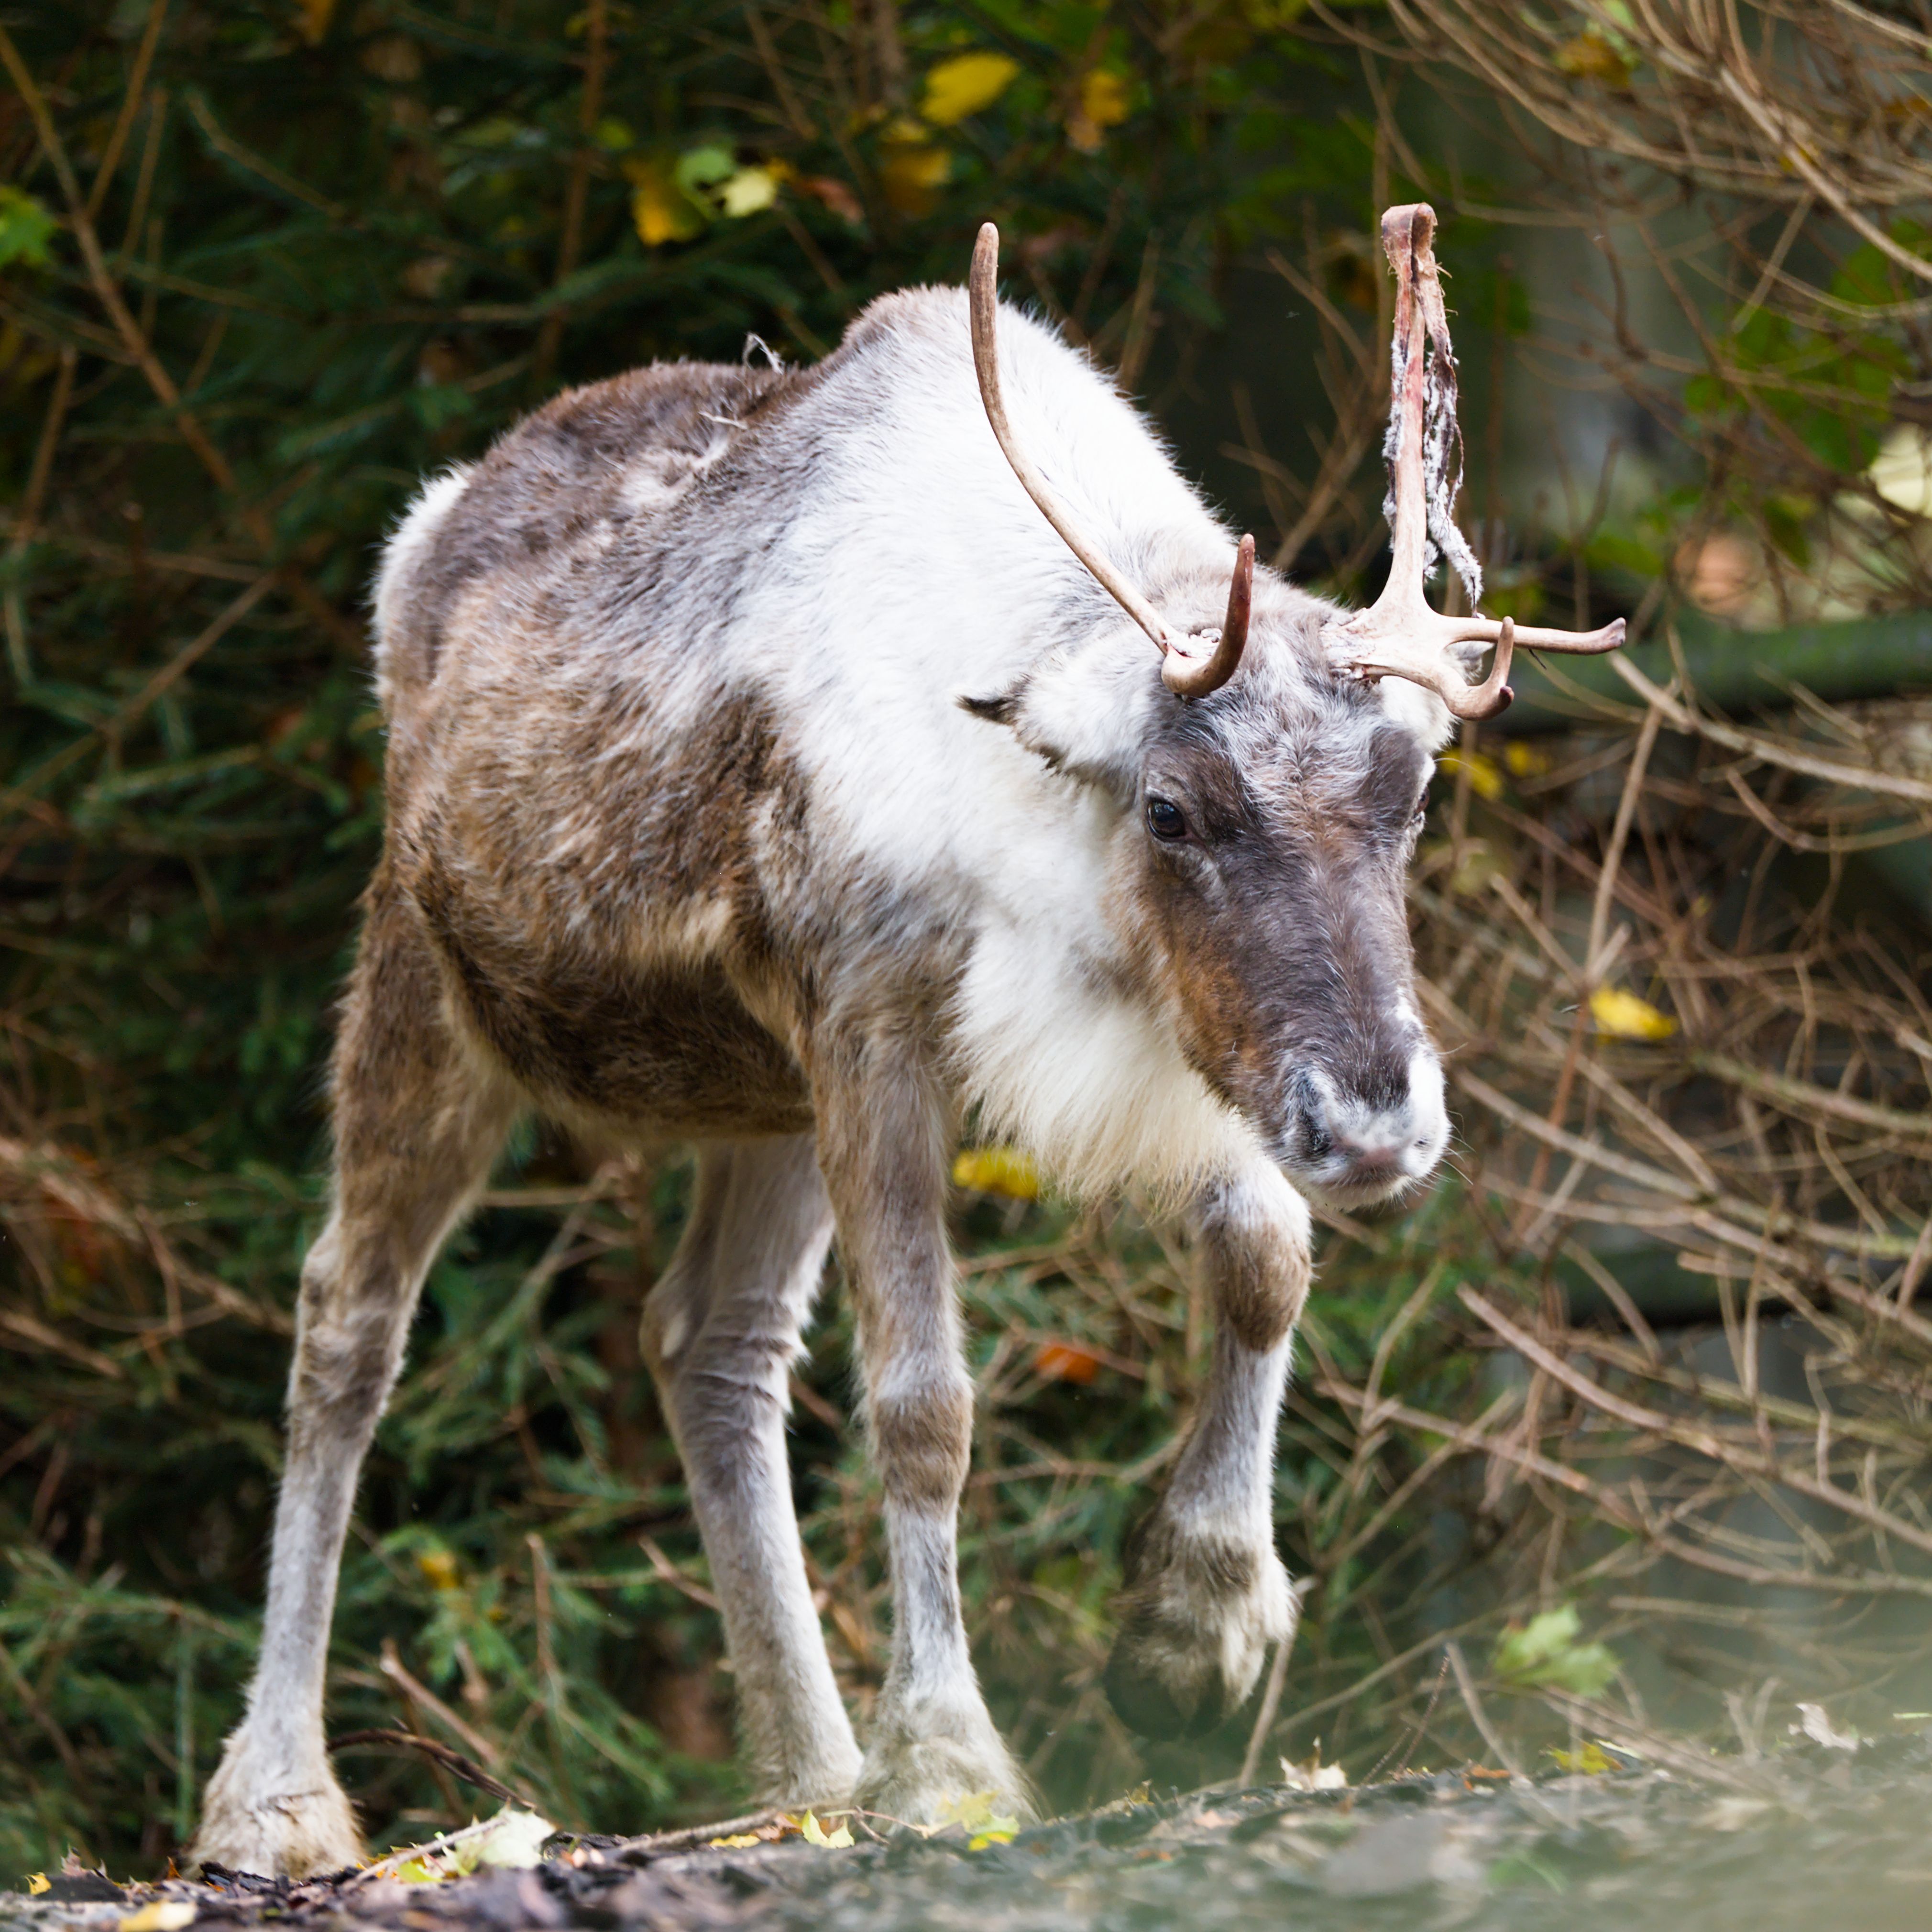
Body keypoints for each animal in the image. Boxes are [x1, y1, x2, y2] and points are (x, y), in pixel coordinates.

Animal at [191, 204, 1621, 1877]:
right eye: (1169, 807)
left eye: (1409, 788)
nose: (1385, 1128)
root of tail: (423, 530)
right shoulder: (873, 1023)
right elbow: (925, 1401)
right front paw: (949, 1762)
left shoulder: (1154, 1046)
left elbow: (1266, 1257)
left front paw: (1194, 1627)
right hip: (430, 986)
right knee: (348, 1316)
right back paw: (276, 1797)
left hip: (758, 1095)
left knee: (712, 1338)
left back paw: (812, 1775)